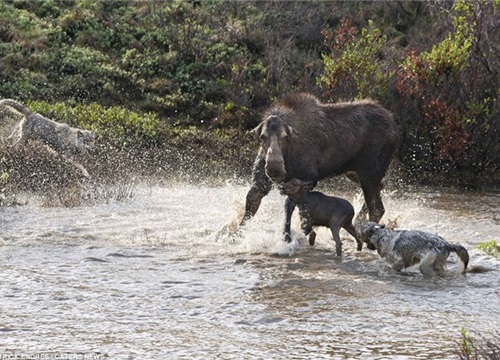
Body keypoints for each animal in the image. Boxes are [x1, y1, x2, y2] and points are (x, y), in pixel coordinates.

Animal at [240, 94, 400, 243]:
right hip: (354, 172)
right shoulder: (261, 183)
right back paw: (358, 221)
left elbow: (290, 205)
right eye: (262, 136)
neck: (288, 154)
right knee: (380, 188)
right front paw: (236, 235)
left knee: (377, 208)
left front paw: (288, 236)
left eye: (285, 136)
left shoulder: (309, 178)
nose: (274, 168)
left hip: (369, 172)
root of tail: (394, 127)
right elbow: (250, 205)